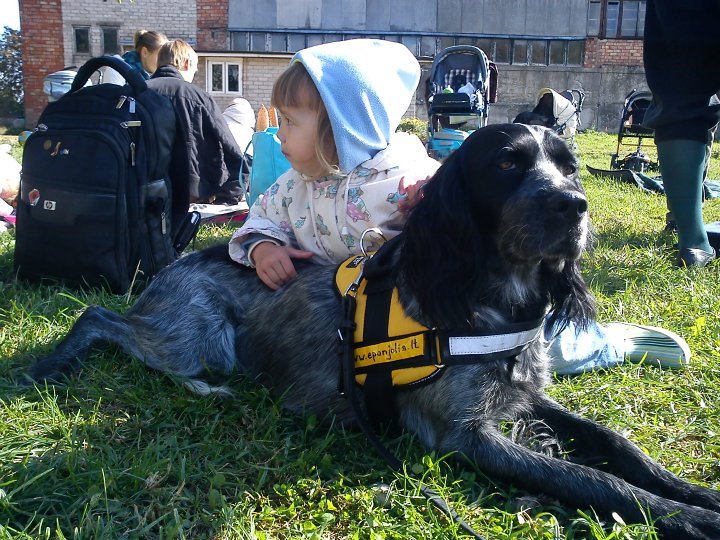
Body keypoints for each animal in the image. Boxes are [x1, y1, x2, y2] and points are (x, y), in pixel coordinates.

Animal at [27, 124, 720, 539]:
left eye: (569, 167)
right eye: (506, 164)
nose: (574, 205)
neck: (489, 299)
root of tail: (173, 264)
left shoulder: (525, 397)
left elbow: (616, 446)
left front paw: (692, 493)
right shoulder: (466, 436)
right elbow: (594, 480)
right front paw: (686, 517)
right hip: (196, 338)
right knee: (102, 319)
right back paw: (55, 366)